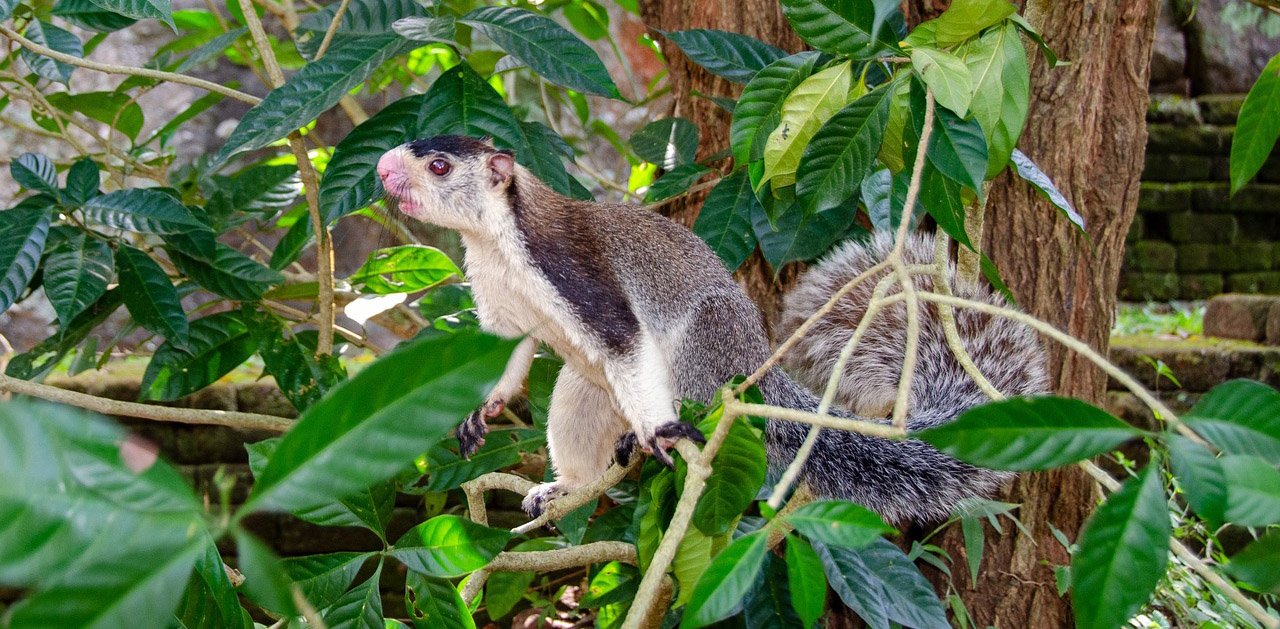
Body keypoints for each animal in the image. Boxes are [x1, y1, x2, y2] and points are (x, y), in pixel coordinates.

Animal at [373, 135, 1044, 525]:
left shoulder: (576, 274)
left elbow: (624, 337)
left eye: (439, 166)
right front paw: (480, 411)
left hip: (705, 344)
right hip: (584, 395)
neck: (496, 244)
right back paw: (567, 487)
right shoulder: (499, 306)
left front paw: (661, 432)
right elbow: (508, 356)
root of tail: (753, 369)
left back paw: (654, 433)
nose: (380, 169)